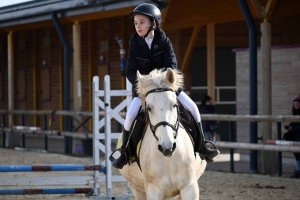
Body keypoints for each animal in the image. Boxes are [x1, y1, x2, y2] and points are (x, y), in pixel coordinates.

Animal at [119, 69, 206, 200]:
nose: (167, 147)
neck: (169, 158)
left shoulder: (189, 187)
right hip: (137, 189)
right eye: (149, 108)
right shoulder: (153, 191)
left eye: (174, 105)